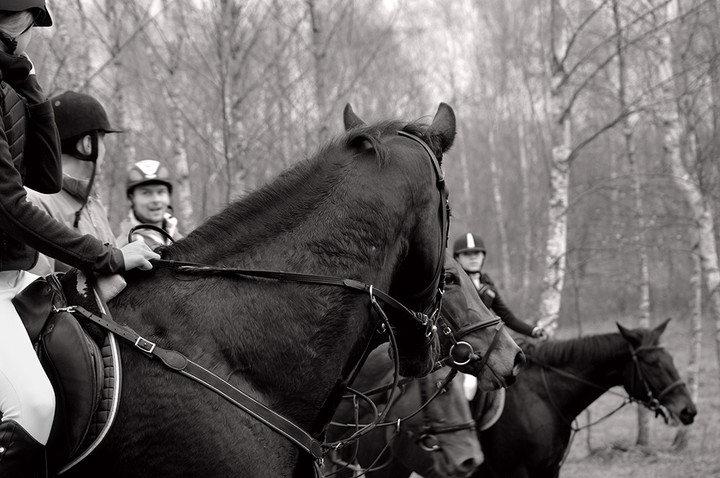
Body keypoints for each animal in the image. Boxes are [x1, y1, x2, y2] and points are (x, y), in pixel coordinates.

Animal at [476, 318, 696, 478]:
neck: (543, 398)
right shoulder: (517, 472)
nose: (689, 410)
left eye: (671, 359)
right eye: (652, 363)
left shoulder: (550, 469)